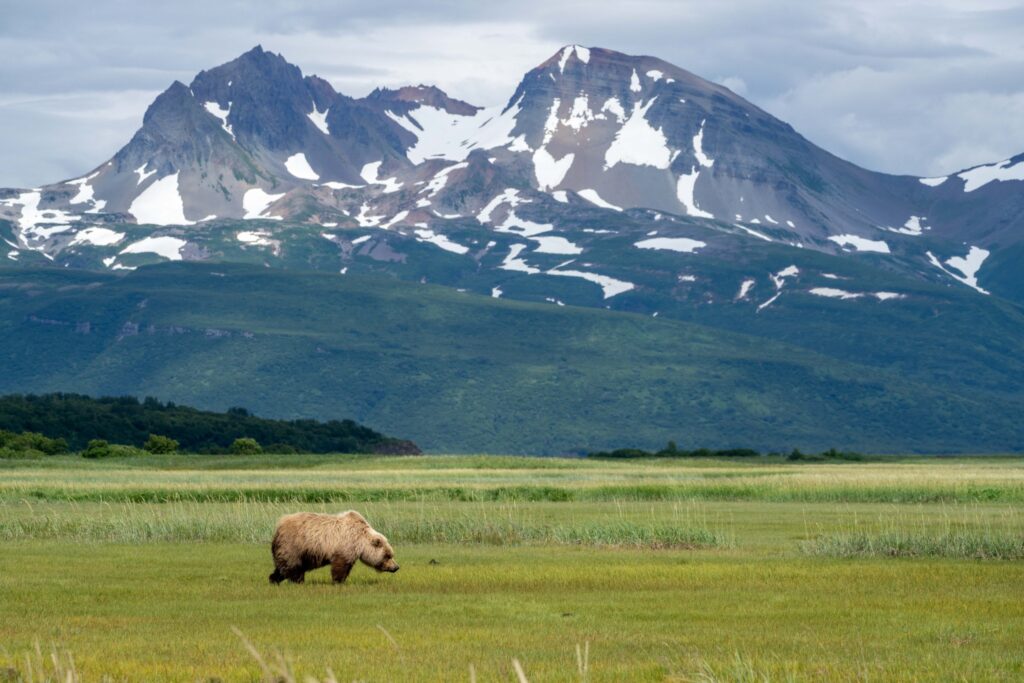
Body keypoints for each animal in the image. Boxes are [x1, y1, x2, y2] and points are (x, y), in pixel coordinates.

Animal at [268, 510, 399, 584]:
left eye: (391, 554)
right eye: (387, 555)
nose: (396, 567)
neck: (360, 542)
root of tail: (279, 526)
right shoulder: (345, 545)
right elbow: (340, 566)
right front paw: (338, 581)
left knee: (282, 567)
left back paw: (273, 579)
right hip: (294, 545)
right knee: (292, 566)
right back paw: (297, 581)